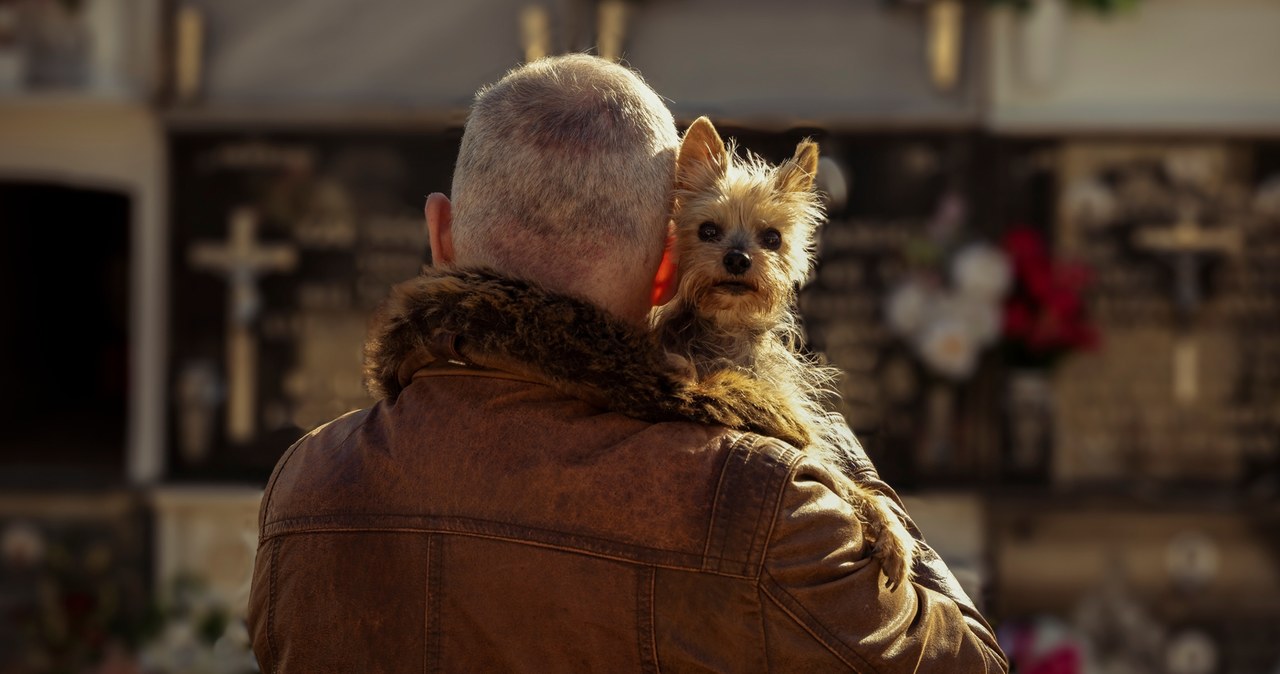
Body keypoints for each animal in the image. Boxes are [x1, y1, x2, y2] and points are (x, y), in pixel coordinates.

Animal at [655, 117, 916, 590]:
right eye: (707, 231)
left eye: (772, 238)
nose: (738, 258)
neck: (728, 334)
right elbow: (836, 479)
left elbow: (848, 483)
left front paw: (890, 532)